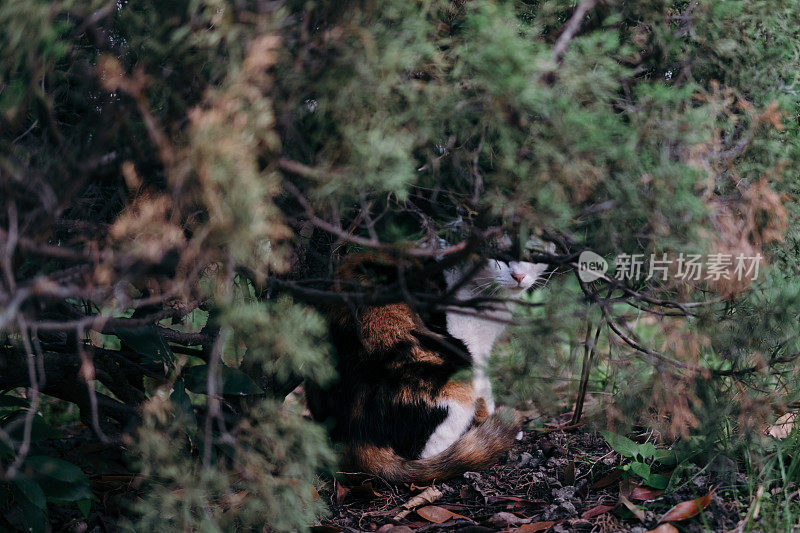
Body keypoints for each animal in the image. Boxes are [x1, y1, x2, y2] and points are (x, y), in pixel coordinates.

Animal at [306, 247, 552, 484]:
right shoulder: (473, 344)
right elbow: (486, 387)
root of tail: (357, 440)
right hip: (453, 376)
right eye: (499, 255)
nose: (518, 276)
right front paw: (491, 415)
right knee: (433, 456)